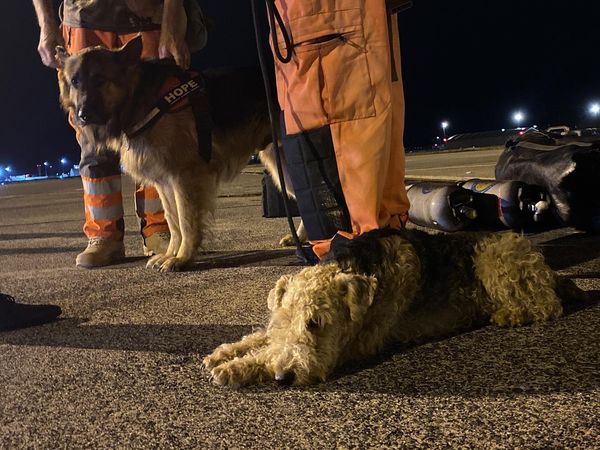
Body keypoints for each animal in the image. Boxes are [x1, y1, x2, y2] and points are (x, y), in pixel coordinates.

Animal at [203, 229, 586, 387]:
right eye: (282, 322)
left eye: (316, 323)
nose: (284, 378)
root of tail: (544, 263)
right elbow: (261, 340)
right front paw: (224, 353)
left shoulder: (358, 342)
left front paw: (237, 368)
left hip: (494, 260)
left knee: (548, 305)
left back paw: (510, 314)